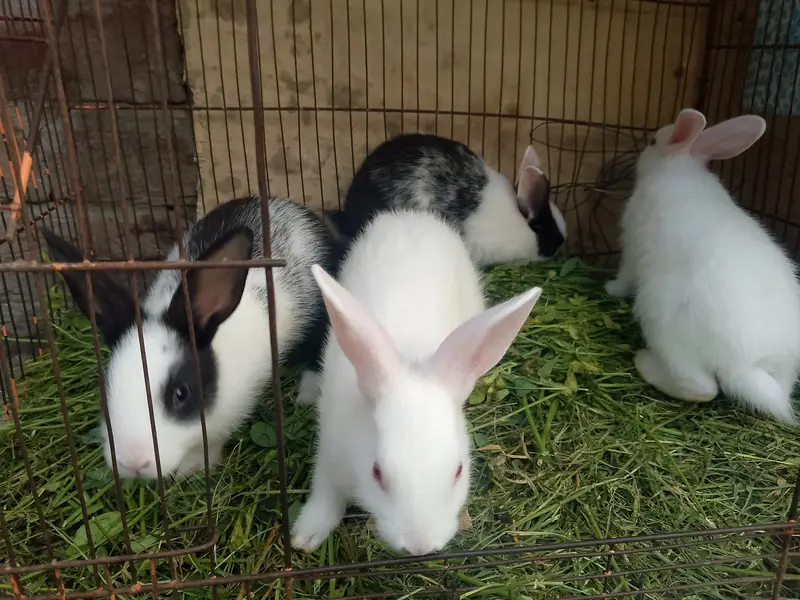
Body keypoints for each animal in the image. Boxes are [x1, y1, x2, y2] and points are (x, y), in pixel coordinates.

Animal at [43, 195, 340, 479]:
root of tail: (289, 205)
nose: (133, 462)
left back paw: (308, 394)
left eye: (181, 394)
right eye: (105, 389)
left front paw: (193, 469)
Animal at [291, 209, 542, 555]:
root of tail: (411, 216)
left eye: (458, 471)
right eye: (377, 472)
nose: (419, 546)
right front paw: (306, 537)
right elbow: (325, 495)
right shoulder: (331, 454)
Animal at [605, 108, 800, 423]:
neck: (678, 167)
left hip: (663, 322)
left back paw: (644, 362)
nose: (640, 152)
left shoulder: (631, 246)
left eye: (652, 141)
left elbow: (625, 275)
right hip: (783, 370)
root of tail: (743, 364)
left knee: (701, 387)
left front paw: (610, 288)